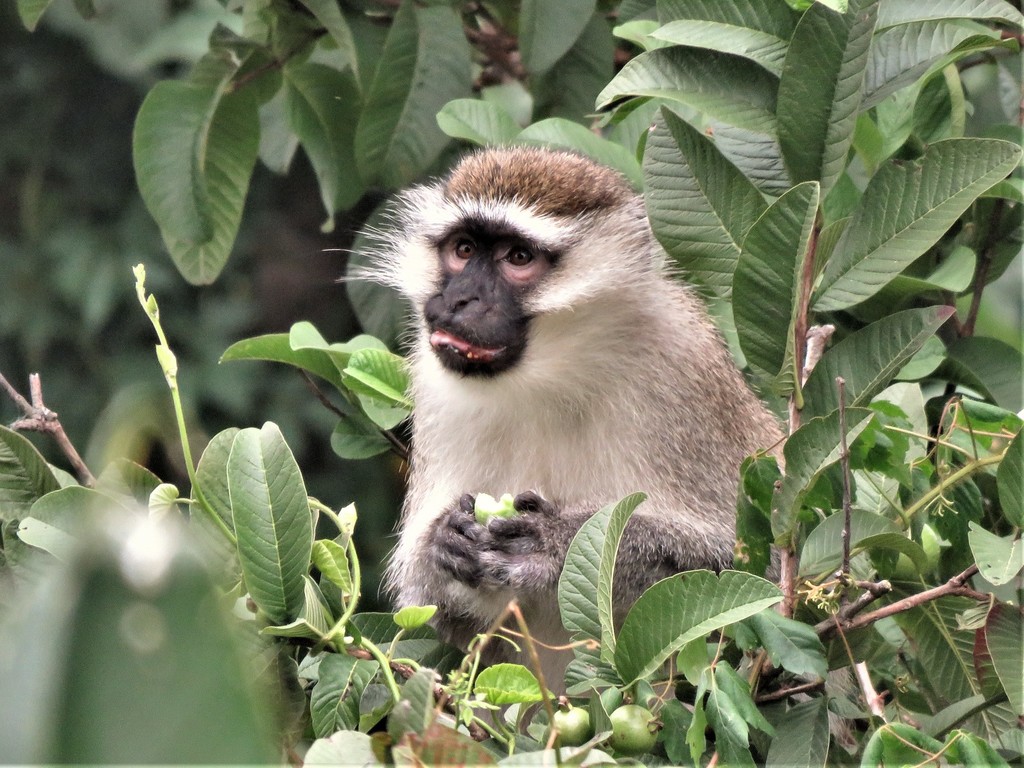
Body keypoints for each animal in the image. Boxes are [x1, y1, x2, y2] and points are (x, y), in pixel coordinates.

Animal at [365, 146, 783, 680]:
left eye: (518, 258)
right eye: (462, 249)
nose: (458, 300)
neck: (555, 375)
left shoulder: (684, 365)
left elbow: (759, 571)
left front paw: (558, 543)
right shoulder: (437, 385)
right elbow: (435, 613)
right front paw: (444, 544)